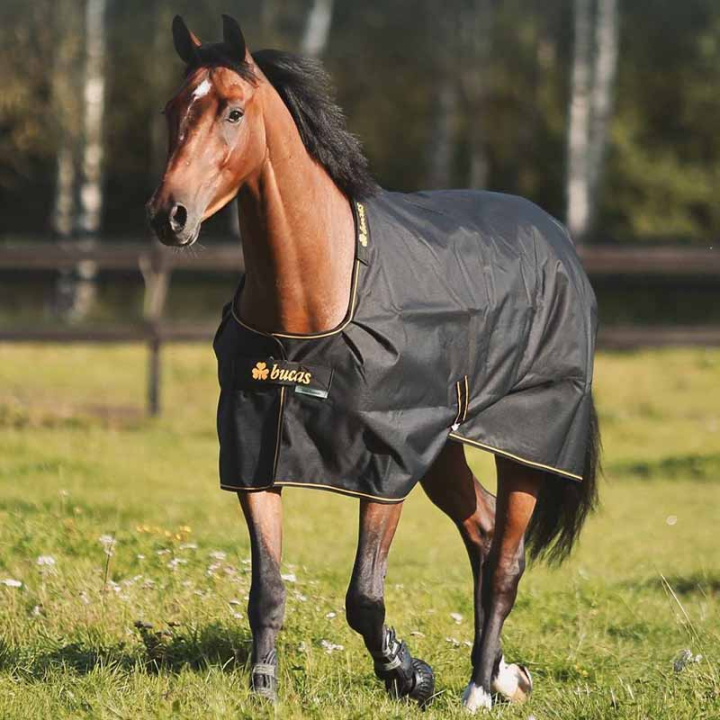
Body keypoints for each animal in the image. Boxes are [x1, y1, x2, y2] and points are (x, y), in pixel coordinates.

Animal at [147, 15, 600, 713]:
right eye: (173, 108)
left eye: (233, 111)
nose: (170, 216)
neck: (315, 301)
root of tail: (554, 235)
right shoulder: (254, 454)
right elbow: (266, 590)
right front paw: (263, 690)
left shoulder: (384, 464)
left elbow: (364, 597)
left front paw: (408, 674)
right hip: (443, 449)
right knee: (482, 527)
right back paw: (503, 675)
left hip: (525, 444)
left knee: (505, 560)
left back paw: (477, 688)